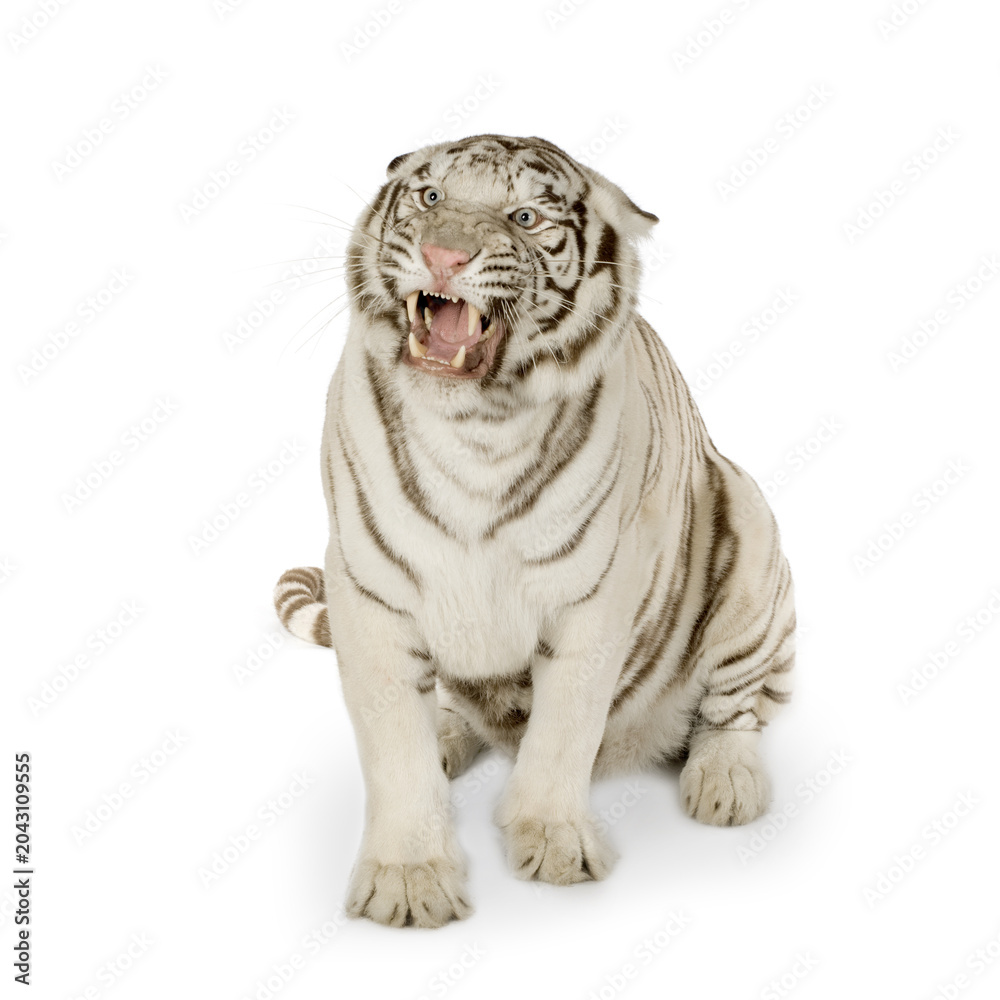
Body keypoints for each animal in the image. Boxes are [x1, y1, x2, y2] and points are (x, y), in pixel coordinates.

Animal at [273, 134, 795, 928]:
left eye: (523, 216)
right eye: (431, 196)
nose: (444, 256)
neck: (474, 426)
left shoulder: (595, 594)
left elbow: (564, 730)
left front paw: (552, 844)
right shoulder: (369, 591)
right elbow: (395, 750)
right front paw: (409, 882)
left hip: (752, 534)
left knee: (733, 710)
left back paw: (725, 784)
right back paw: (448, 737)